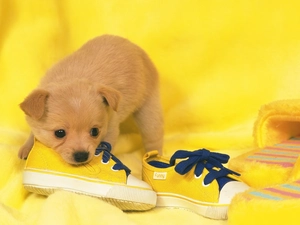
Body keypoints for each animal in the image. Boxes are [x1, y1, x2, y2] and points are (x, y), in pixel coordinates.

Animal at [18, 35, 164, 165]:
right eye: (59, 133)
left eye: (95, 132)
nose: (81, 156)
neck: (71, 77)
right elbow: (33, 133)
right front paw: (27, 148)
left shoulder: (110, 128)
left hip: (148, 110)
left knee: (153, 138)